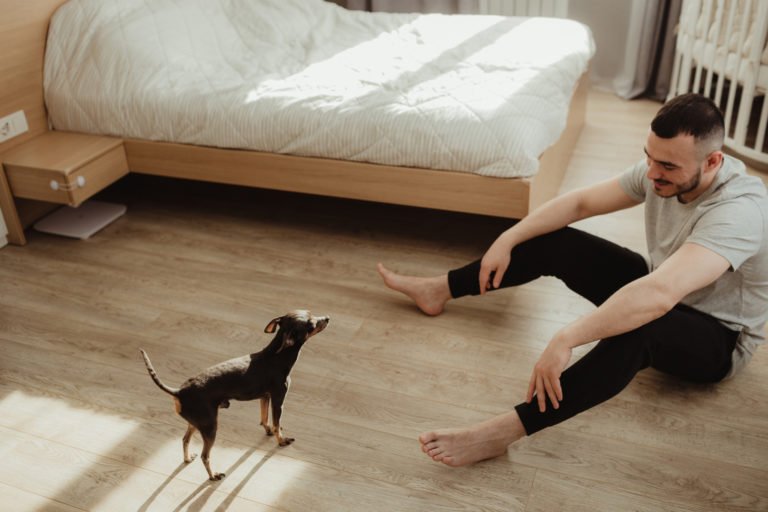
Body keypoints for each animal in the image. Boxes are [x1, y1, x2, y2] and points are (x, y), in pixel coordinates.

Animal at [140, 310, 328, 482]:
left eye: (311, 313)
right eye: (311, 324)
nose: (327, 318)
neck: (277, 356)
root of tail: (179, 392)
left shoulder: (264, 397)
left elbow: (264, 418)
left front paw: (268, 430)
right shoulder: (278, 399)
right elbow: (276, 424)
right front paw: (281, 440)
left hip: (197, 422)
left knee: (185, 440)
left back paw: (187, 459)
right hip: (210, 427)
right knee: (205, 455)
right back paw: (213, 475)